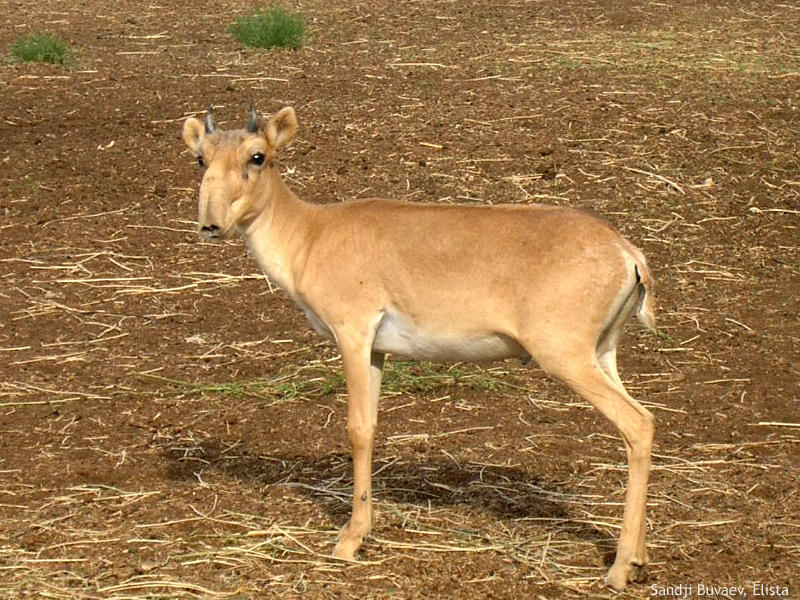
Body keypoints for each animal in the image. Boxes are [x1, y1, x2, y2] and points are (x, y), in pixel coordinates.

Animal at [181, 104, 656, 592]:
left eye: (257, 156)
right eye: (201, 158)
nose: (210, 223)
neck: (309, 236)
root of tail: (629, 255)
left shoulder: (353, 331)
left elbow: (357, 428)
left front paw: (349, 539)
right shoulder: (376, 350)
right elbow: (371, 425)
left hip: (566, 354)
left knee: (638, 422)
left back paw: (620, 567)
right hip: (603, 353)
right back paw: (639, 556)